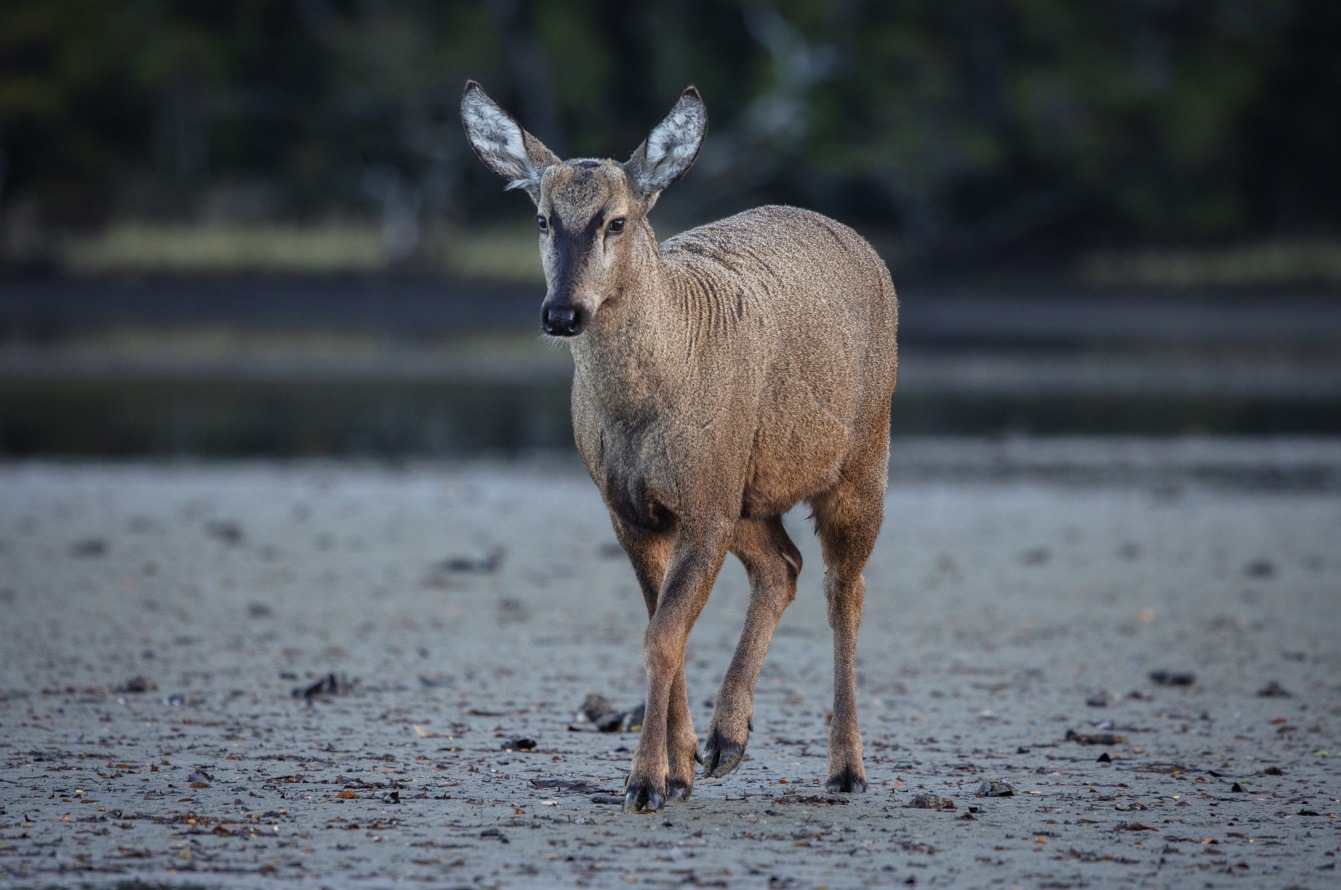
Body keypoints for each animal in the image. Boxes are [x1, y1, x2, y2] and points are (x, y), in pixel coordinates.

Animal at [463, 81, 901, 814]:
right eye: (542, 220)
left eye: (615, 221)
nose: (561, 313)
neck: (645, 405)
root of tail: (858, 241)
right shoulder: (634, 509)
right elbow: (662, 631)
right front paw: (680, 766)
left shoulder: (703, 507)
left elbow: (662, 636)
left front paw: (644, 781)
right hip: (747, 490)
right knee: (783, 567)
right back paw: (728, 741)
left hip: (862, 456)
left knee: (847, 591)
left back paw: (846, 768)